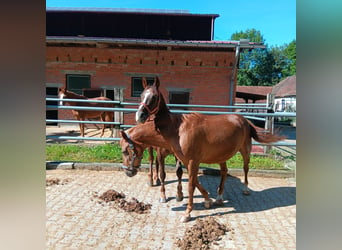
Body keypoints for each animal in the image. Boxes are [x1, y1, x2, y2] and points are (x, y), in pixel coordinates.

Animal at [124, 76, 284, 223]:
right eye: (141, 95)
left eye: (154, 97)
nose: (140, 115)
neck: (178, 128)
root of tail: (244, 120)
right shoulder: (185, 160)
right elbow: (193, 180)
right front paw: (207, 200)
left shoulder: (193, 161)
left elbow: (191, 185)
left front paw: (187, 213)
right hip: (221, 155)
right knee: (224, 172)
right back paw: (219, 197)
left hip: (245, 151)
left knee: (245, 168)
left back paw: (245, 189)